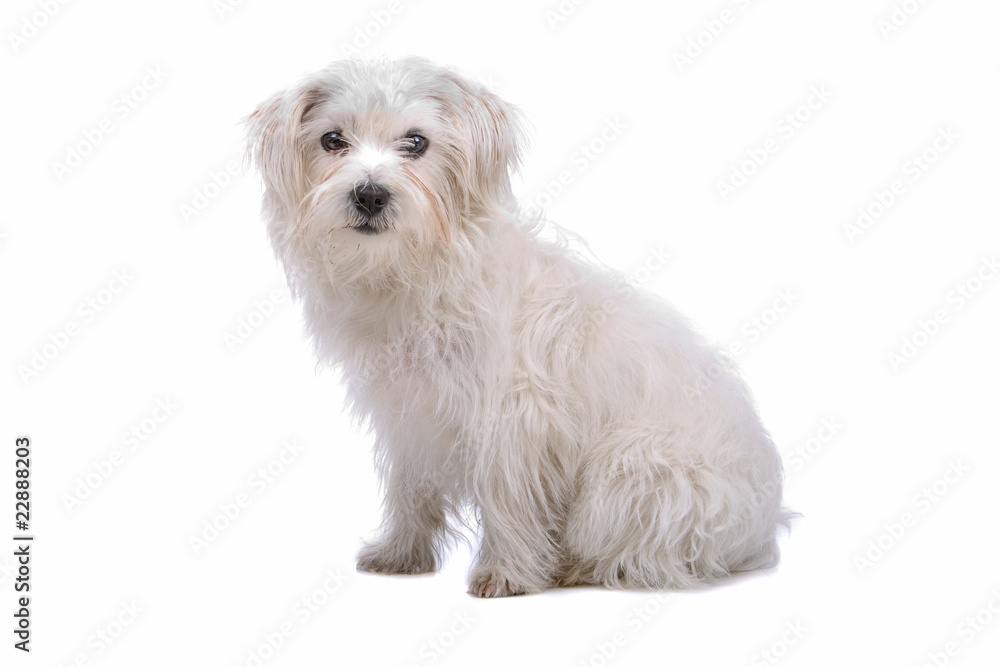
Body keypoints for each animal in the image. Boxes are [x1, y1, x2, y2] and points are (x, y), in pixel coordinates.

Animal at [246, 58, 792, 600]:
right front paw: (402, 554)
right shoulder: (411, 418)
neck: (415, 274)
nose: (370, 195)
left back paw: (575, 566)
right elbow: (410, 490)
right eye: (333, 140)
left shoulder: (513, 422)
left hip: (630, 469)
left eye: (416, 142)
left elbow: (507, 499)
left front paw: (506, 572)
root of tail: (762, 528)